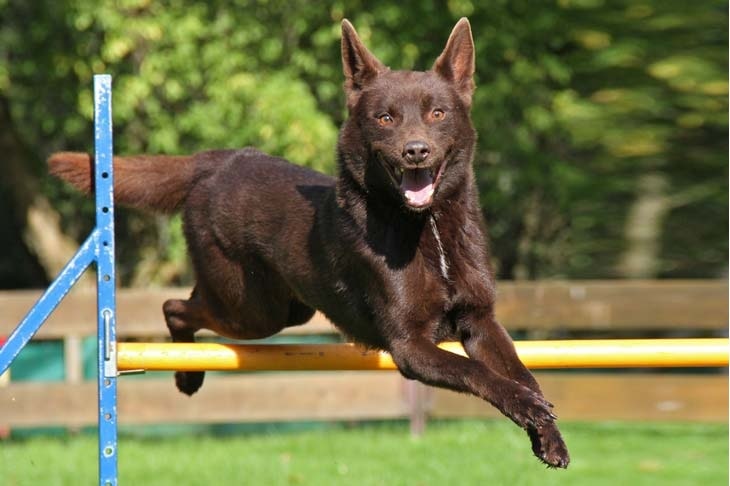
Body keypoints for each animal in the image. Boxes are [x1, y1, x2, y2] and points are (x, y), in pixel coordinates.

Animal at [49, 18, 568, 468]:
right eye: (385, 118)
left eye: (437, 113)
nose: (415, 151)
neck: (429, 231)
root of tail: (218, 161)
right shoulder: (410, 346)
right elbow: (477, 373)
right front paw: (529, 407)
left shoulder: (480, 322)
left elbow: (518, 370)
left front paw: (548, 436)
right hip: (252, 310)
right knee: (175, 307)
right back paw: (188, 375)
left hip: (284, 308)